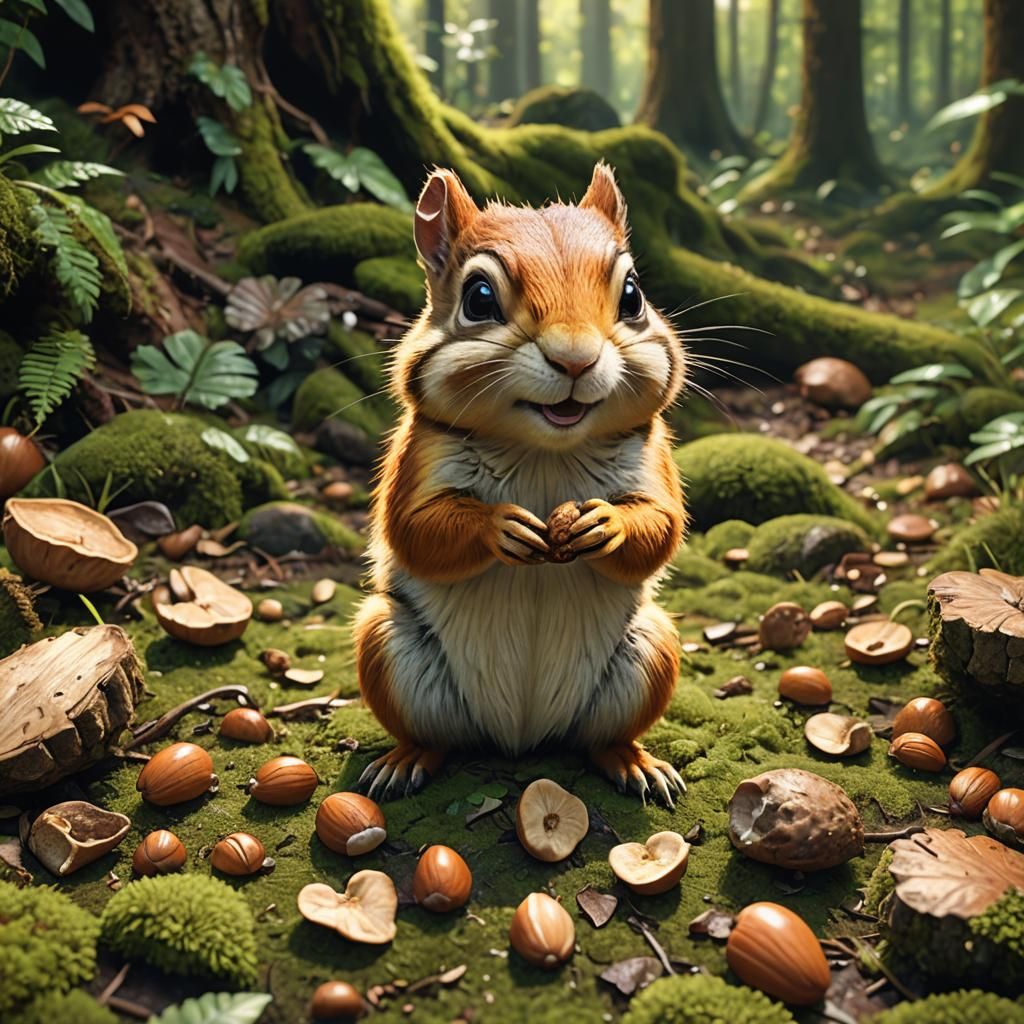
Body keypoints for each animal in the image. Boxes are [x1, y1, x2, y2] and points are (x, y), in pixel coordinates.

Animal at [353, 163, 687, 805]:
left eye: (633, 294)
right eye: (478, 298)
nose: (575, 359)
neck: (543, 452)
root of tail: (522, 738)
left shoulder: (653, 456)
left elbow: (661, 524)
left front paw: (605, 523)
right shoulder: (418, 455)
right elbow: (413, 529)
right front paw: (499, 525)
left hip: (648, 651)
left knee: (600, 738)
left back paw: (633, 762)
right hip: (389, 645)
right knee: (435, 736)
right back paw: (406, 760)